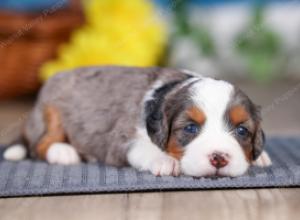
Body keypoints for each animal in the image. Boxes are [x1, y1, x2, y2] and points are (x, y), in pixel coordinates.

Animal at [4, 65, 272, 177]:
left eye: (242, 131)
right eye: (190, 128)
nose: (219, 158)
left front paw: (260, 157)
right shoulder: (122, 140)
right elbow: (143, 148)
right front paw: (164, 160)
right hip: (52, 112)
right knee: (40, 143)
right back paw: (64, 152)